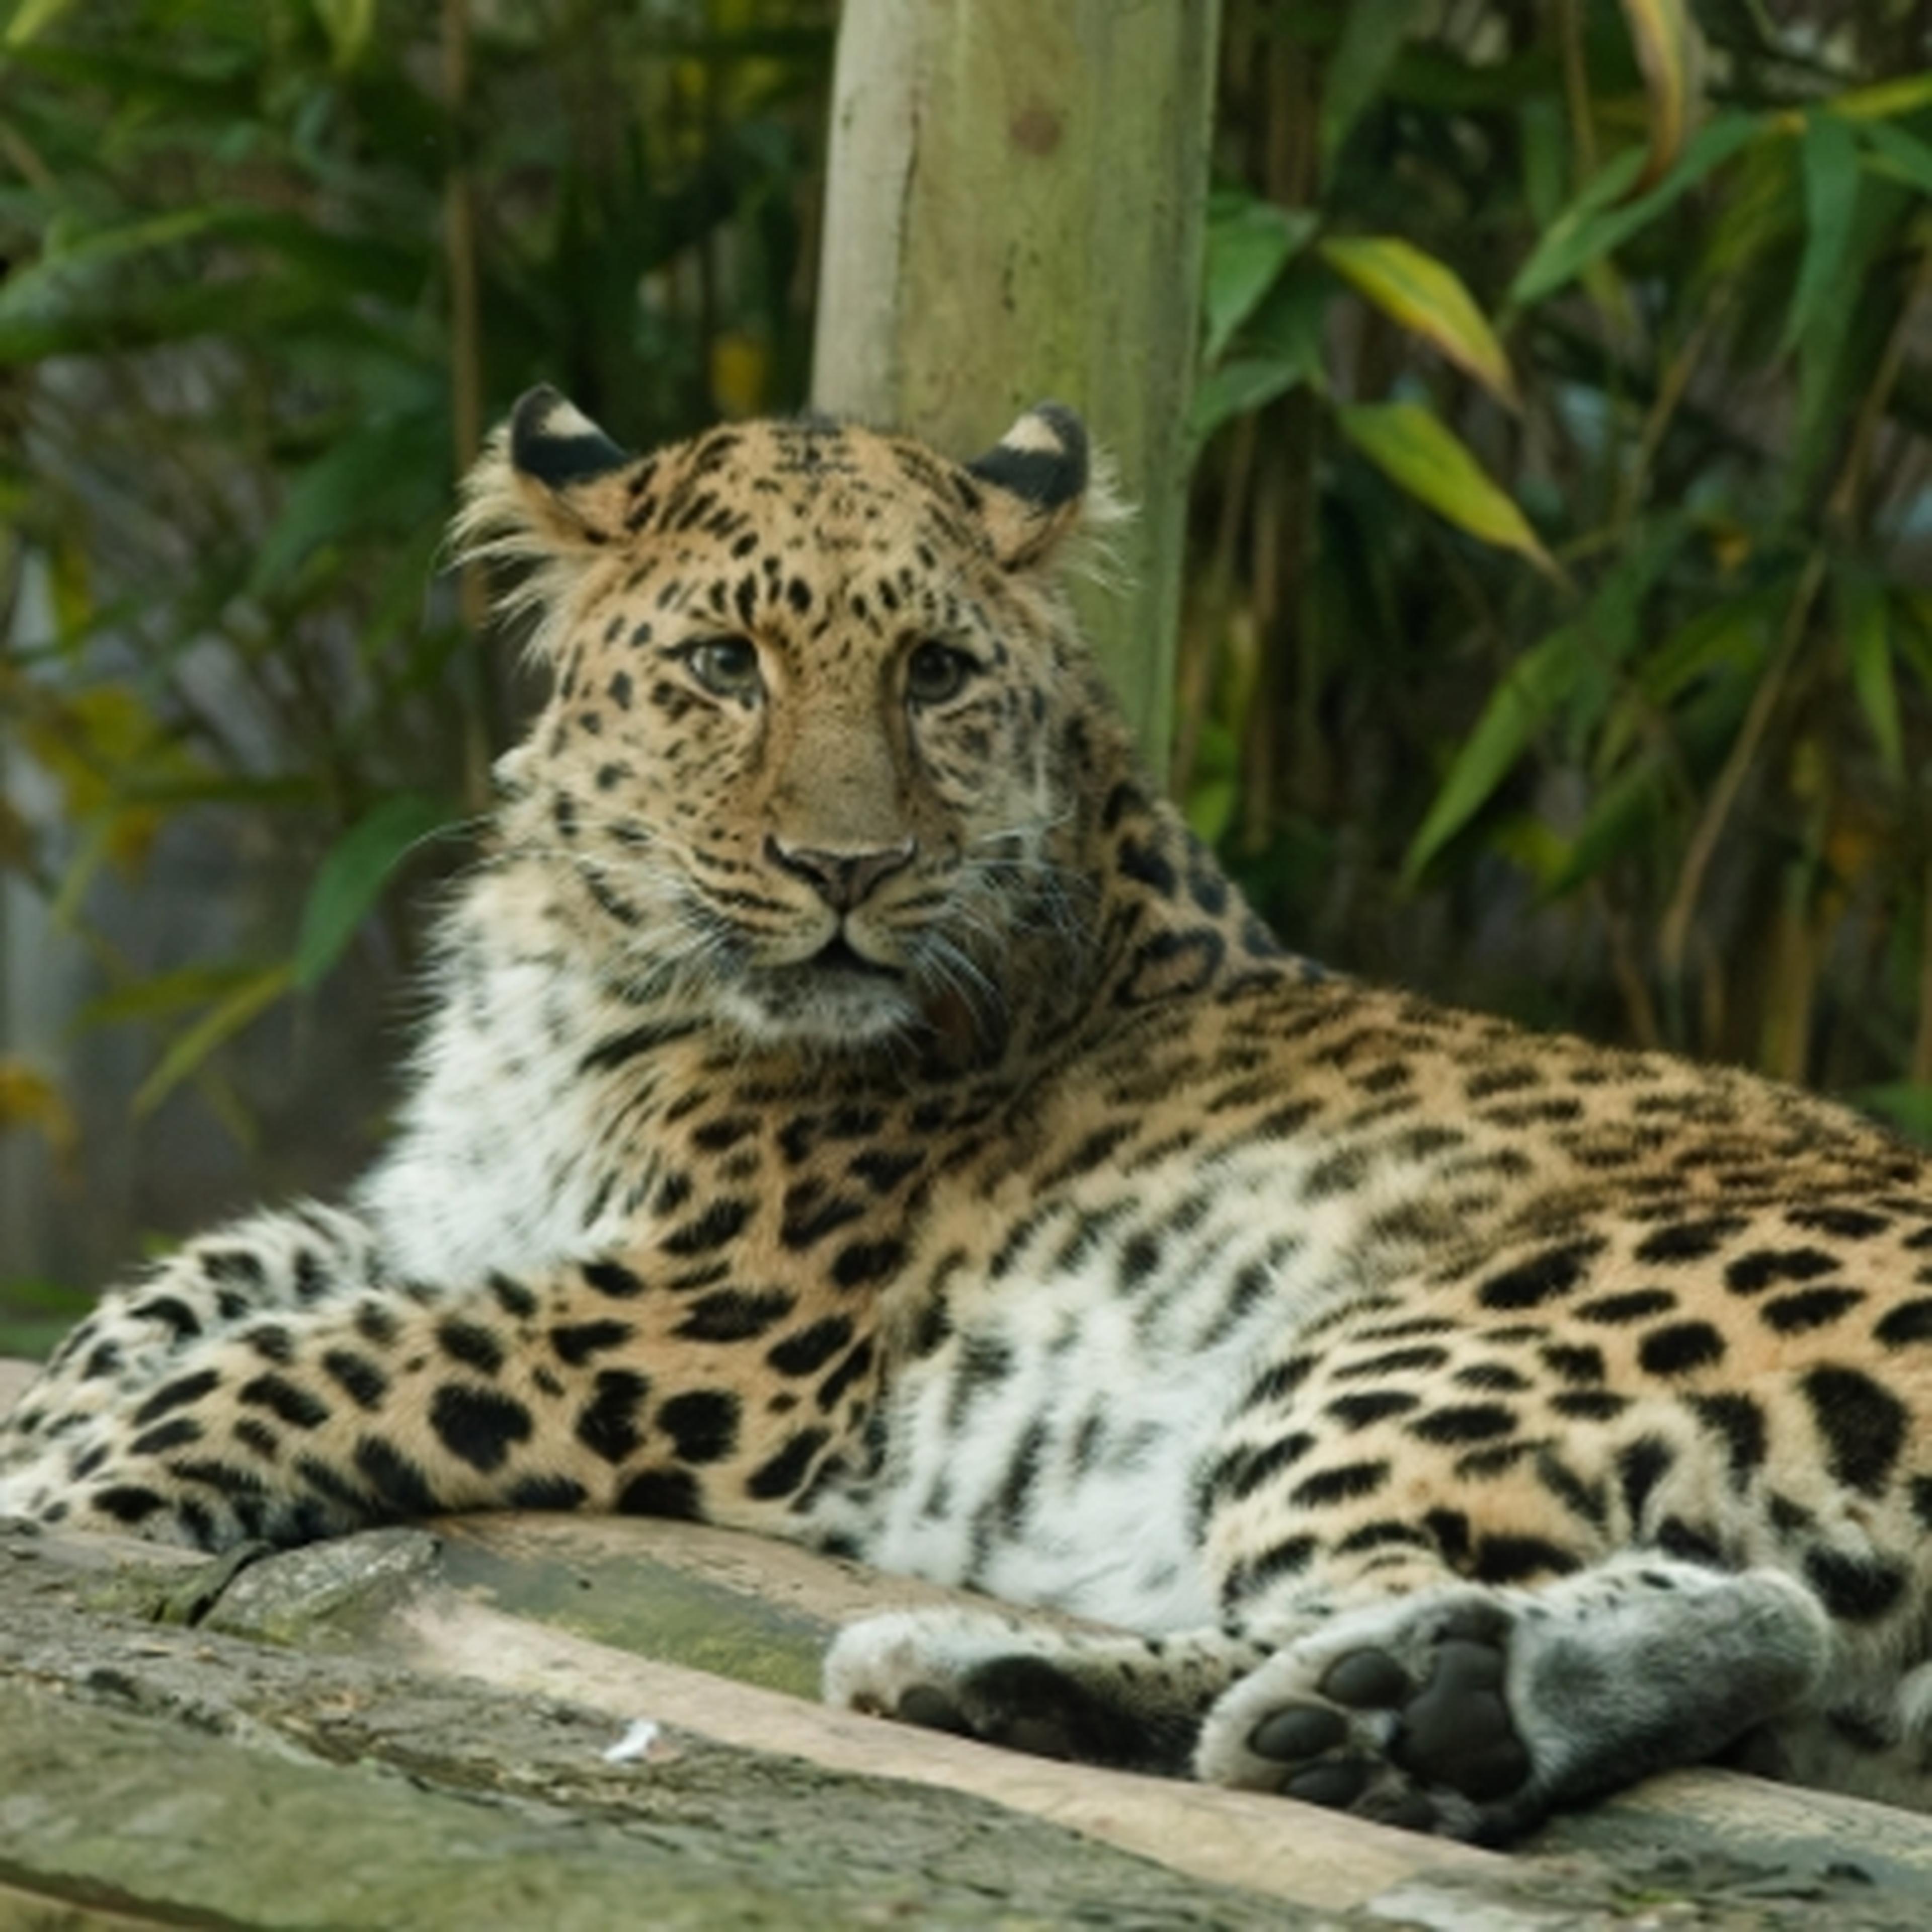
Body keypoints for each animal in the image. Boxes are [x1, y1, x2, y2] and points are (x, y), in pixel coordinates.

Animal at [7, 384, 1932, 1845]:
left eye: (933, 671)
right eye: (724, 663)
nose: (844, 868)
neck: (578, 959)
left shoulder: (709, 1319)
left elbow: (319, 1359)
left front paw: (80, 1489)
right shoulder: (447, 1205)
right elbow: (197, 1281)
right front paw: (54, 1418)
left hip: (1425, 1339)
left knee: (1462, 1597)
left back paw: (1230, 1700)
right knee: (1732, 1626)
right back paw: (1328, 1714)